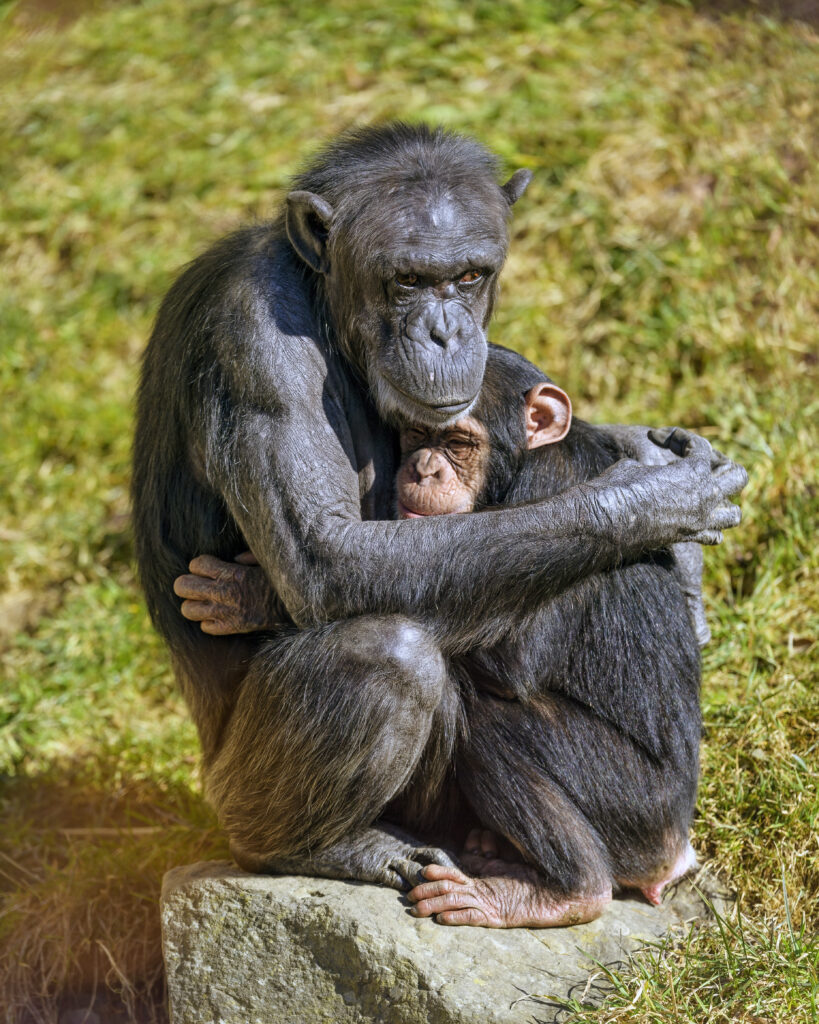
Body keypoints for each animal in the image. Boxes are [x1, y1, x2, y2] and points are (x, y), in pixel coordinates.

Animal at [179, 346, 704, 929]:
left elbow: (514, 659)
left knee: (494, 722)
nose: (424, 467)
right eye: (413, 434)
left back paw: (561, 892)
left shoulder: (550, 485)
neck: (522, 464)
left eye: (456, 442)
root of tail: (676, 855)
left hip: (636, 809)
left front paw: (249, 593)